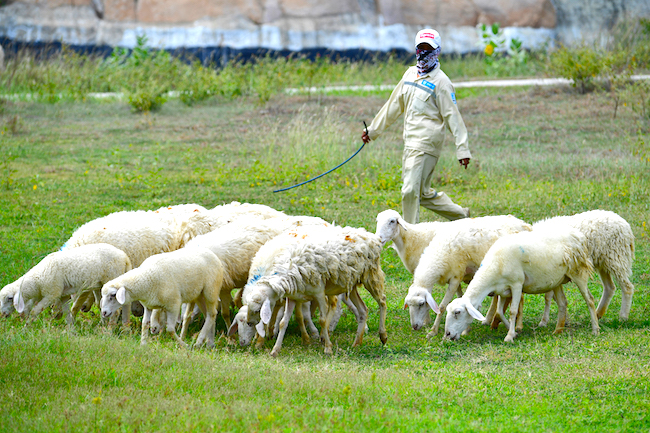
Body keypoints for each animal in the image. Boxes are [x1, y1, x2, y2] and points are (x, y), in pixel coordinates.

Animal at [240, 226, 388, 354]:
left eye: (257, 310)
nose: (250, 322)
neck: (291, 271)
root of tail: (368, 235)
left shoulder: (319, 294)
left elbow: (322, 320)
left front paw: (328, 348)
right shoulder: (293, 298)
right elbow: (283, 322)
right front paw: (275, 350)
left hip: (371, 275)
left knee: (382, 301)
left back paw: (383, 336)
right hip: (351, 283)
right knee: (363, 310)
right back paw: (357, 343)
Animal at [404, 214, 532, 332]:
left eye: (421, 303)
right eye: (408, 304)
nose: (414, 327)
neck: (440, 253)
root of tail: (524, 224)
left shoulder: (456, 277)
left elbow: (442, 307)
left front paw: (433, 331)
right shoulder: (456, 278)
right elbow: (461, 298)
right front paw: (466, 328)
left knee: (520, 297)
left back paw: (517, 325)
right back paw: (491, 321)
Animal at [440, 221, 596, 342]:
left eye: (458, 312)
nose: (447, 334)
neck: (495, 265)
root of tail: (579, 235)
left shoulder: (516, 284)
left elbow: (513, 311)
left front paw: (509, 336)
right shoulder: (503, 290)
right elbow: (499, 312)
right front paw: (513, 331)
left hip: (578, 271)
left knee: (589, 299)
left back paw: (595, 329)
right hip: (557, 279)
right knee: (563, 303)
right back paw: (558, 330)